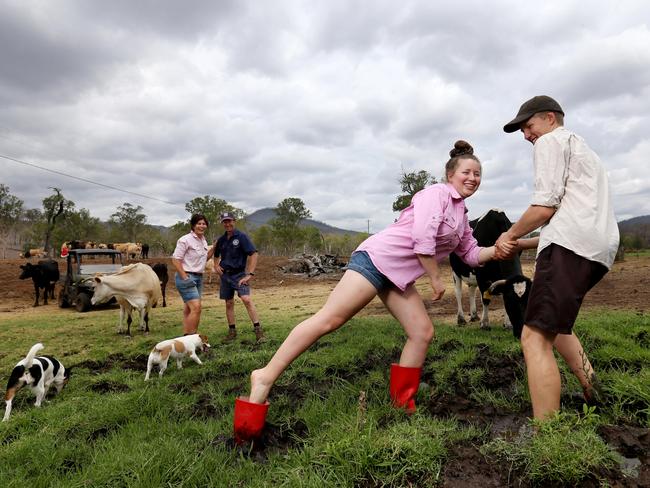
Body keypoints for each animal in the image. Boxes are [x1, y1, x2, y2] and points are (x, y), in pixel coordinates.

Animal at [448, 209, 528, 340]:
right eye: (512, 305)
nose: (520, 333)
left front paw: (507, 324)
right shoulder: (482, 274)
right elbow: (485, 298)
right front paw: (485, 324)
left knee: (471, 291)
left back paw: (474, 316)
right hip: (455, 271)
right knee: (458, 293)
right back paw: (461, 319)